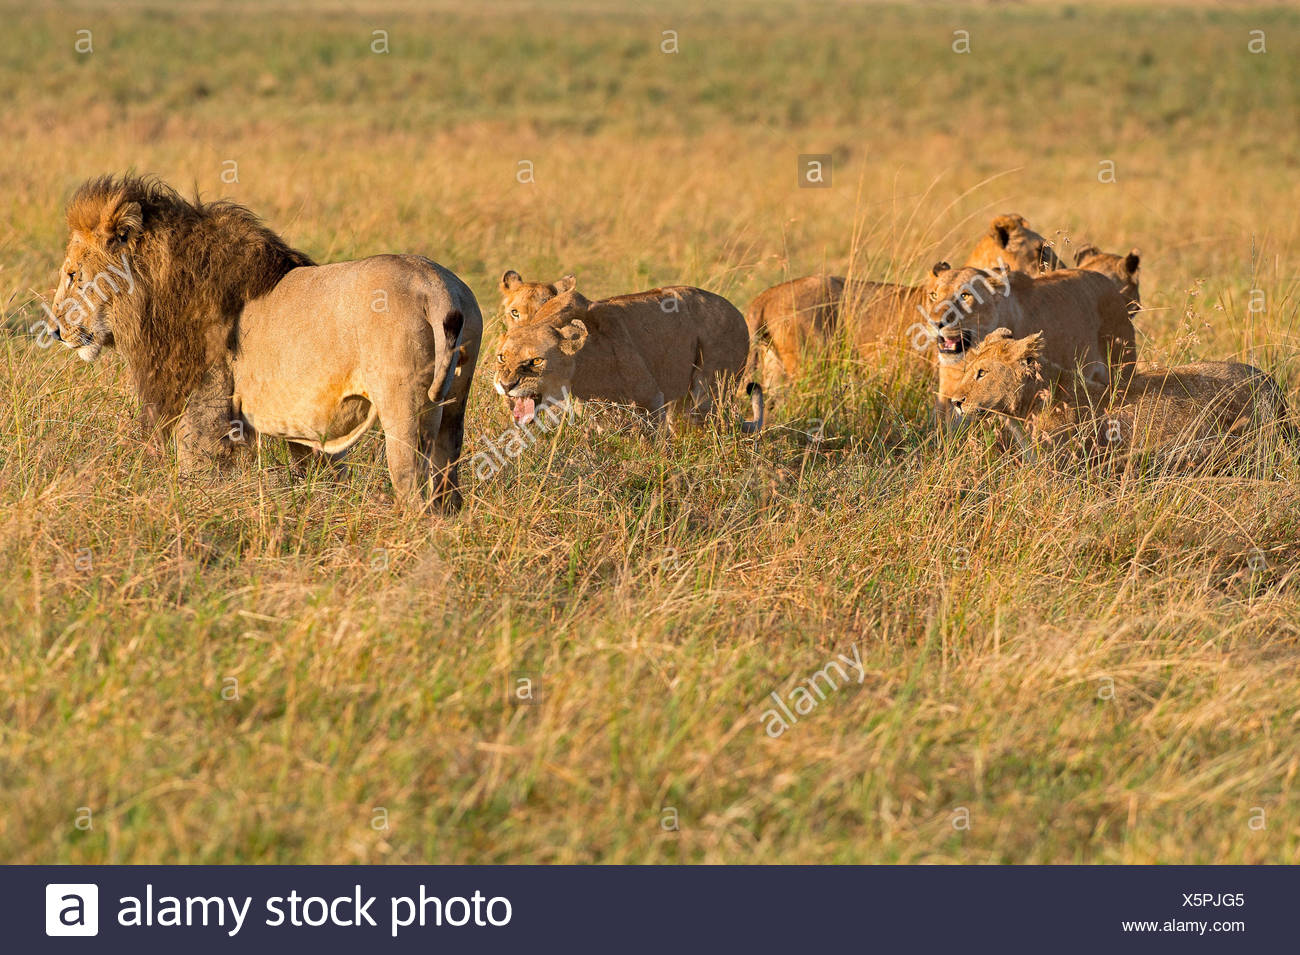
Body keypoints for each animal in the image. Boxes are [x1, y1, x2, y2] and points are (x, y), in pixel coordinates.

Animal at [48, 175, 482, 508]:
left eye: (71, 274)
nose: (53, 330)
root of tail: (436, 288)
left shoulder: (208, 402)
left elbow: (196, 466)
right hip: (454, 405)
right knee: (448, 483)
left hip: (401, 408)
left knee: (413, 489)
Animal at [493, 286, 762, 432]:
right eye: (501, 358)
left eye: (536, 361)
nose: (505, 385)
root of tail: (738, 312)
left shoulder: (650, 400)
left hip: (709, 393)